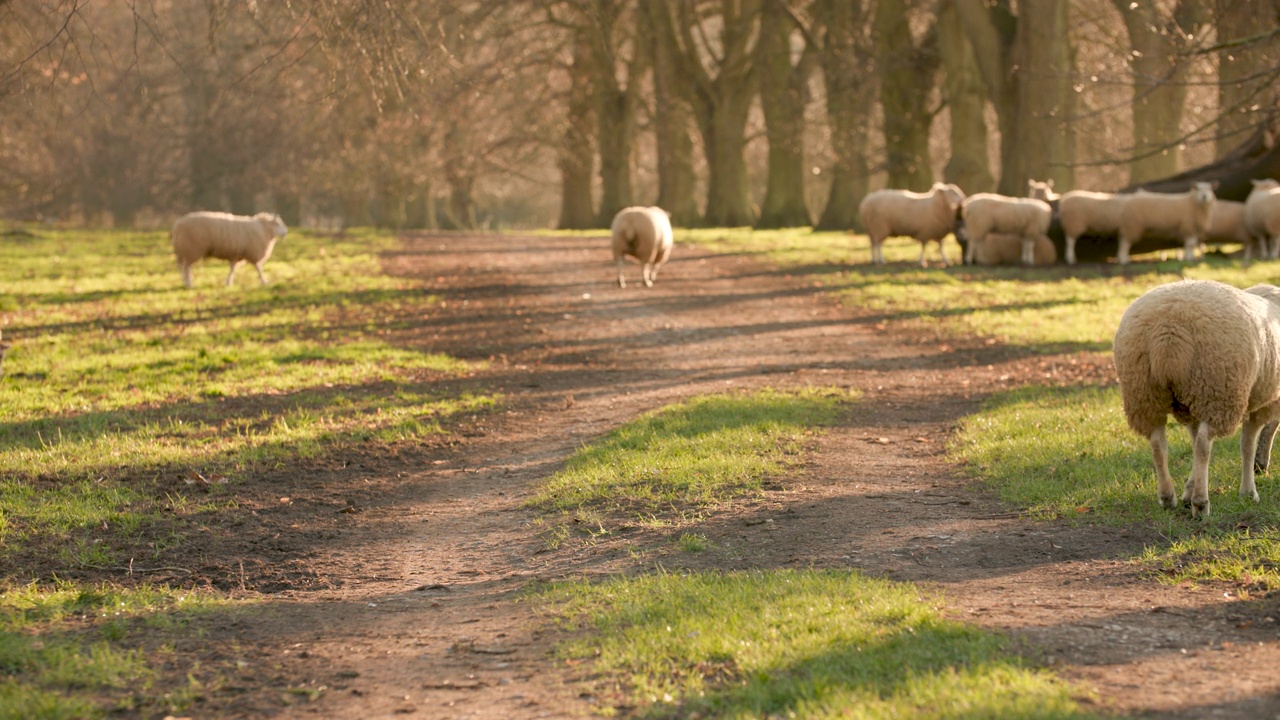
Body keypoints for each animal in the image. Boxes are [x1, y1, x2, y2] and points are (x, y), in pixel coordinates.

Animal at [1111, 275, 1280, 515]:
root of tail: (1168, 330)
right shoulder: (1261, 403)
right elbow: (1248, 444)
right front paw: (1249, 491)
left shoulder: (1190, 406)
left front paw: (1188, 489)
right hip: (1219, 389)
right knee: (1203, 445)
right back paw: (1201, 503)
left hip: (1145, 391)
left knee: (1158, 442)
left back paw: (1168, 497)